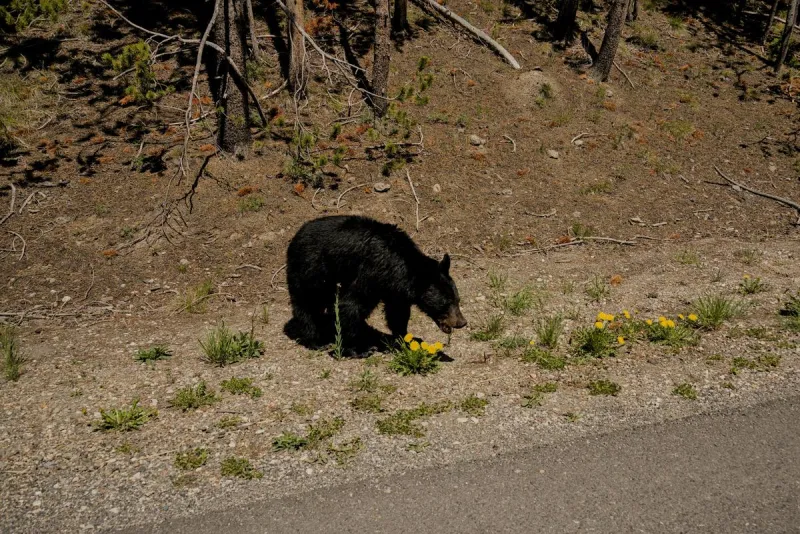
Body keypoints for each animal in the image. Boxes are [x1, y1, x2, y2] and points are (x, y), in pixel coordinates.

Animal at [283, 215, 467, 356]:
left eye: (458, 300)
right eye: (446, 302)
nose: (461, 322)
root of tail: (294, 237)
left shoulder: (395, 290)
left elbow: (397, 313)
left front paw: (405, 338)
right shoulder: (371, 272)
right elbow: (351, 306)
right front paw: (356, 349)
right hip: (311, 269)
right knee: (306, 303)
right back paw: (315, 340)